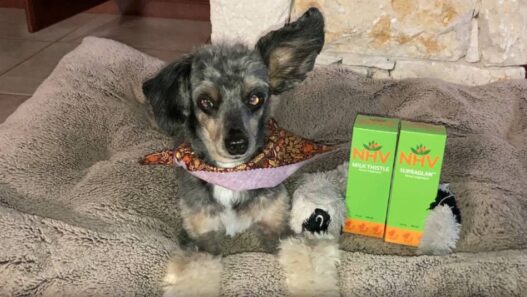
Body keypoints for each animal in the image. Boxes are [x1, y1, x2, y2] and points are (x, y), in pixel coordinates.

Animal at [144, 7, 326, 252]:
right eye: (205, 102)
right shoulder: (200, 233)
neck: (231, 173)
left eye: (255, 98)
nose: (237, 144)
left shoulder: (275, 223)